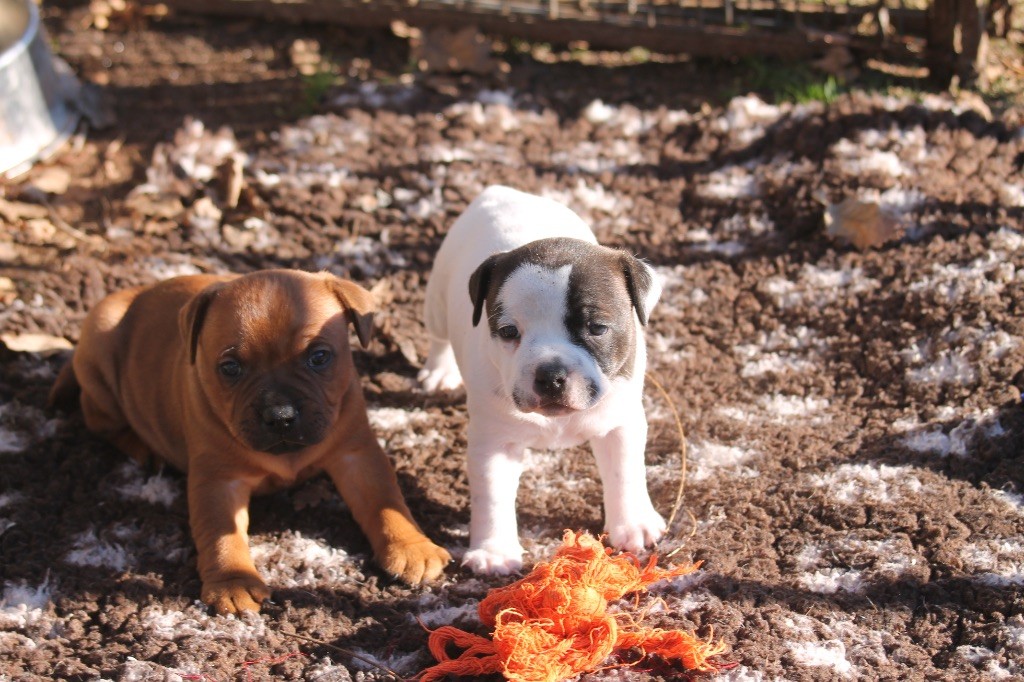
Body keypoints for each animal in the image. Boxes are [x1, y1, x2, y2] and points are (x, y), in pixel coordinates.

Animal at [48, 268, 448, 614]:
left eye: (319, 357)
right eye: (230, 368)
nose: (281, 415)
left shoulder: (357, 454)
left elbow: (384, 502)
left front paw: (412, 547)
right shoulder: (218, 481)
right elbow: (221, 534)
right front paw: (233, 582)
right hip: (99, 357)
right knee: (98, 417)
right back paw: (143, 448)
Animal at [415, 183, 663, 569]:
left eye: (597, 327)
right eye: (507, 332)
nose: (551, 376)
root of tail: (500, 192)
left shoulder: (620, 424)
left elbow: (625, 473)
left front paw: (632, 524)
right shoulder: (494, 442)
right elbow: (492, 494)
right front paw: (494, 551)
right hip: (437, 301)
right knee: (438, 336)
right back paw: (439, 371)